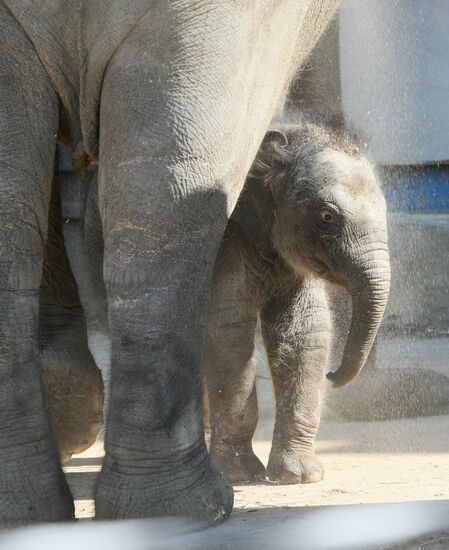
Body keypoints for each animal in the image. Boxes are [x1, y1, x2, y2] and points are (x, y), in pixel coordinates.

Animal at [205, 118, 390, 486]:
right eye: (327, 217)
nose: (333, 375)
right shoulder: (226, 242)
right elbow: (228, 328)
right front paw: (239, 476)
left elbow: (305, 331)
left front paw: (301, 476)